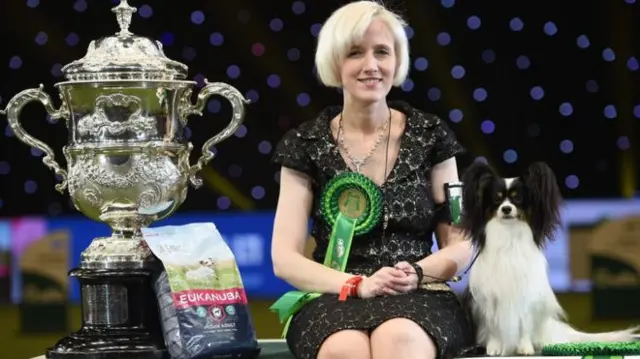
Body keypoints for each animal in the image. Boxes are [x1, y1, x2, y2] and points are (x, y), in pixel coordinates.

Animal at [460, 162, 636, 356]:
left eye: (517, 198)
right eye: (496, 199)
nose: (506, 209)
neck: (509, 237)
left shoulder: (527, 296)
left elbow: (524, 324)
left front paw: (525, 348)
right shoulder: (489, 298)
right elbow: (492, 327)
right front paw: (494, 347)